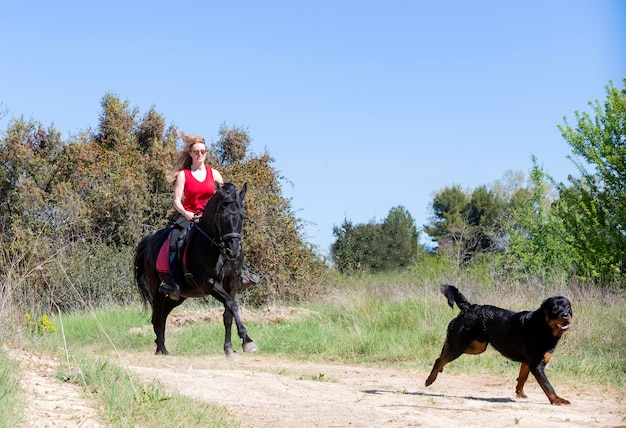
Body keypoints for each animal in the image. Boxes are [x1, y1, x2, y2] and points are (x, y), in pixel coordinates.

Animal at [133, 182, 256, 356]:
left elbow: (228, 314)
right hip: (156, 290)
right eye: (222, 216)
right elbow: (232, 305)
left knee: (162, 316)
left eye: (242, 216)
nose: (233, 250)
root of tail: (150, 240)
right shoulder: (209, 283)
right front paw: (247, 340)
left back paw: (161, 347)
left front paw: (229, 348)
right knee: (157, 317)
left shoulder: (231, 282)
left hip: (179, 296)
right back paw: (161, 350)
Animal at [424, 284, 572, 404]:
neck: (542, 326)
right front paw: (557, 400)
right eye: (554, 309)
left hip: (475, 347)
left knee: (443, 354)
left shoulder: (527, 362)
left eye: (567, 307)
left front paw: (520, 393)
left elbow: (522, 378)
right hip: (459, 345)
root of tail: (469, 307)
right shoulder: (536, 364)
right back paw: (430, 380)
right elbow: (547, 386)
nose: (565, 315)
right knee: (440, 360)